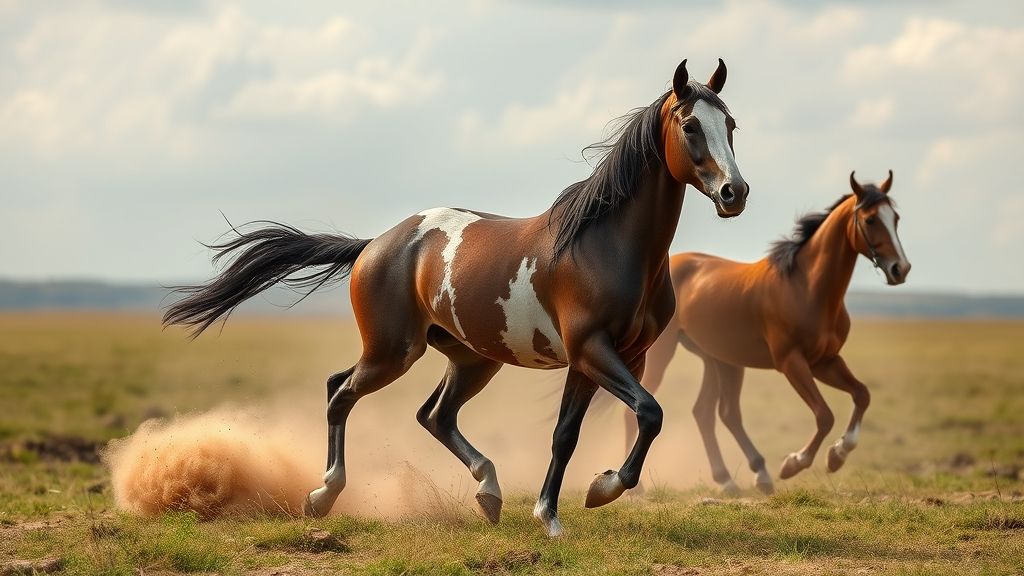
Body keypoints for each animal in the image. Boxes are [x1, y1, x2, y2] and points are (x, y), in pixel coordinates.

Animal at [163, 58, 749, 537]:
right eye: (690, 125)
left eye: (731, 125)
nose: (734, 193)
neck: (606, 246)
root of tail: (375, 245)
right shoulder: (591, 350)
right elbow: (647, 413)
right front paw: (595, 492)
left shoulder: (618, 357)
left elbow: (572, 433)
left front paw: (557, 510)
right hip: (394, 352)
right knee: (340, 392)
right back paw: (322, 495)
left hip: (471, 358)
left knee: (434, 415)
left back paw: (488, 492)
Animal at [619, 172, 909, 495]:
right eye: (871, 220)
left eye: (895, 218)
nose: (900, 269)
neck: (807, 288)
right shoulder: (792, 362)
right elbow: (824, 415)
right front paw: (794, 463)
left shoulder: (825, 361)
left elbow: (862, 394)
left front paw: (838, 454)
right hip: (665, 355)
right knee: (641, 410)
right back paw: (637, 488)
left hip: (720, 361)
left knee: (711, 413)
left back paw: (734, 479)